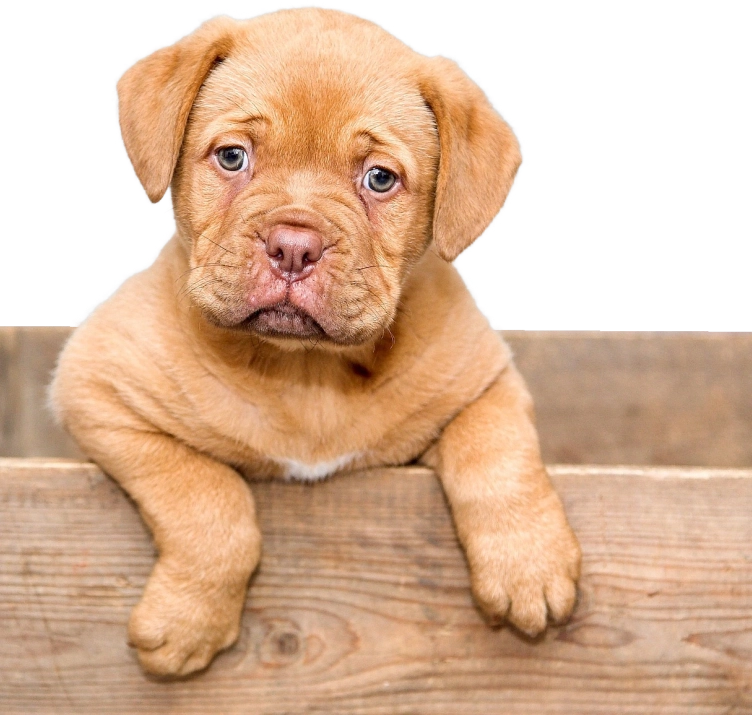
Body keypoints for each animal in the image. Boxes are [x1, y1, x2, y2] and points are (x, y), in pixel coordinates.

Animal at [50, 5, 580, 676]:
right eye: (232, 157)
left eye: (379, 178)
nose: (294, 247)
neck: (306, 372)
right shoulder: (98, 390)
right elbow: (208, 498)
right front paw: (188, 623)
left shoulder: (484, 382)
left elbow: (497, 452)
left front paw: (527, 566)